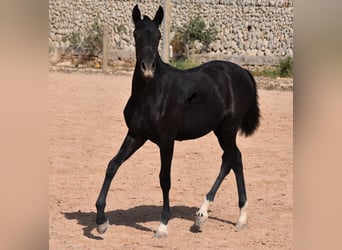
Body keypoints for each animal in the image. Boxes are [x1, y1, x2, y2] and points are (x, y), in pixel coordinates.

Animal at [95, 4, 260, 237]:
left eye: (158, 36)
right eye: (136, 35)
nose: (148, 68)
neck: (151, 94)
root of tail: (244, 72)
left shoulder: (167, 140)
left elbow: (165, 178)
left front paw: (163, 226)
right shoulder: (136, 135)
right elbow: (112, 165)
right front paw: (101, 220)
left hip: (229, 128)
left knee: (233, 158)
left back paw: (237, 216)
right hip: (220, 129)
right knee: (232, 159)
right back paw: (204, 216)